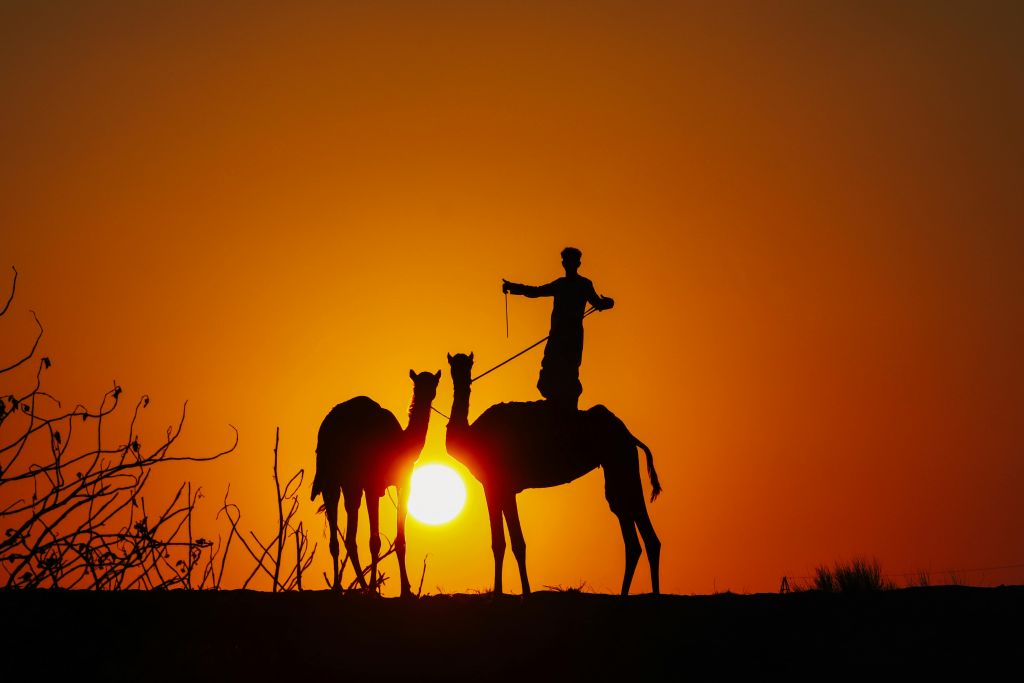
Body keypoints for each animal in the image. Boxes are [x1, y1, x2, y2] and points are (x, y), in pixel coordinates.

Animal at [311, 369, 441, 595]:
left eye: (433, 383)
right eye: (417, 384)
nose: (426, 395)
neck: (400, 444)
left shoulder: (402, 483)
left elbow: (400, 540)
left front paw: (406, 589)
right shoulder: (373, 485)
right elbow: (375, 541)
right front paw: (375, 588)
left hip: (343, 481)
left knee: (347, 536)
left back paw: (348, 586)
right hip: (340, 479)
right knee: (345, 533)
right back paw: (352, 587)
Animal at [444, 352, 661, 595]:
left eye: (469, 364)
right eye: (453, 365)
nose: (461, 376)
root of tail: (629, 435)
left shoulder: (500, 485)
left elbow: (514, 543)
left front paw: (520, 593)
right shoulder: (497, 487)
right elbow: (501, 542)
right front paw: (503, 592)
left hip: (620, 462)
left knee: (634, 525)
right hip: (619, 466)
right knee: (634, 525)